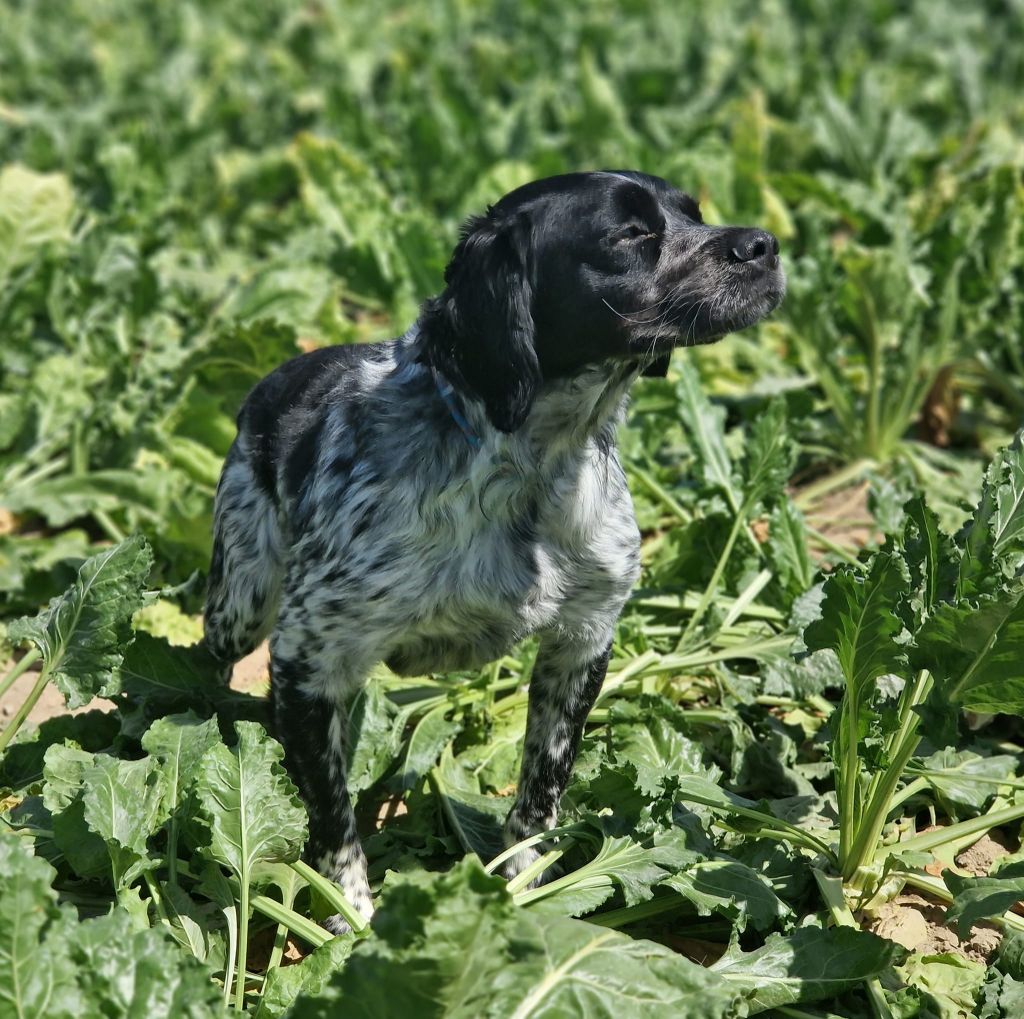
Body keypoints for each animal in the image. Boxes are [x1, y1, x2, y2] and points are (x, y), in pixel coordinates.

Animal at [205, 168, 782, 933]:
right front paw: (349, 918)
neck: (530, 465)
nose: (765, 244)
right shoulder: (307, 658)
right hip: (239, 604)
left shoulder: (583, 639)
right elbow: (332, 819)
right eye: (630, 233)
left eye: (694, 212)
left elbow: (542, 784)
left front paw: (523, 884)